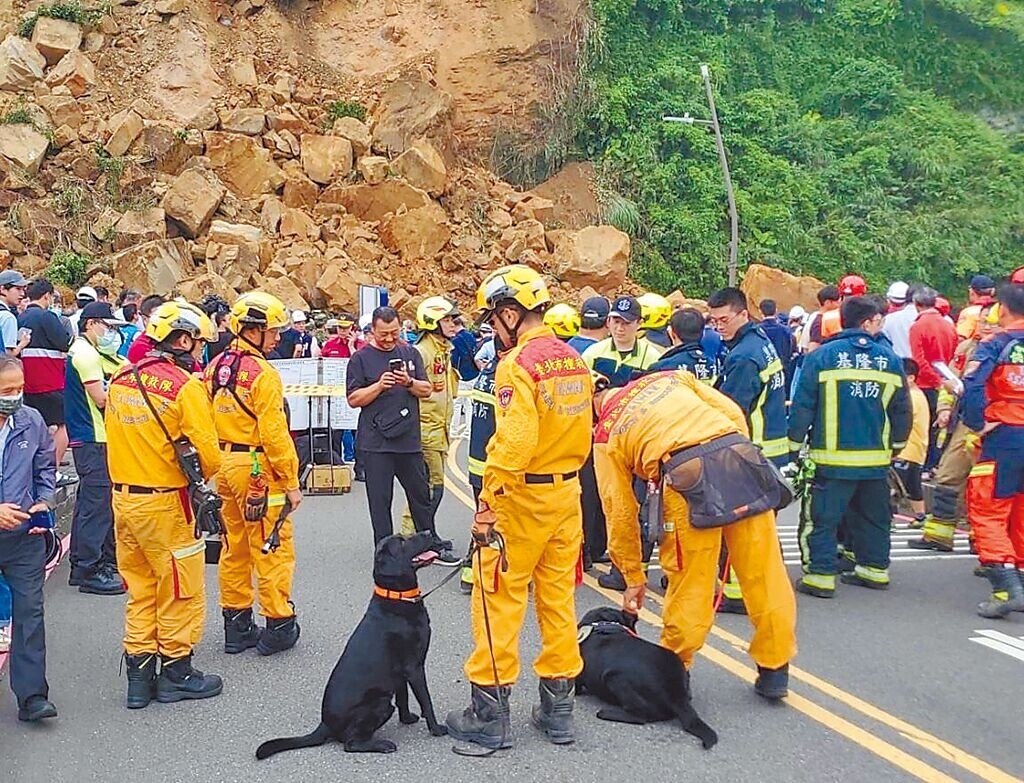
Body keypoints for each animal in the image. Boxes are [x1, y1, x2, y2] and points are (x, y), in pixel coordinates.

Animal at [253, 528, 446, 753]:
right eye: (402, 542)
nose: (428, 532)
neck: (396, 596)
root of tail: (325, 724)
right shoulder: (414, 667)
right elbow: (426, 701)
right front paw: (437, 729)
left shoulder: (400, 674)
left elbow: (403, 698)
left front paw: (407, 719)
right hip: (380, 703)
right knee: (350, 744)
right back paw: (382, 744)